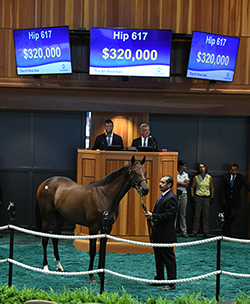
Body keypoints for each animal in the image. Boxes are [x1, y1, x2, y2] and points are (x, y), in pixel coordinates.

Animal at [36, 156, 149, 284]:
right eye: (134, 172)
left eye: (145, 171)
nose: (145, 189)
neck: (104, 197)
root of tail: (46, 183)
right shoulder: (93, 228)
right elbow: (93, 250)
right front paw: (91, 277)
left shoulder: (107, 229)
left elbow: (102, 250)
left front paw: (101, 276)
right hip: (47, 217)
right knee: (45, 239)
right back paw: (45, 268)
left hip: (61, 218)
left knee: (55, 238)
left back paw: (59, 266)